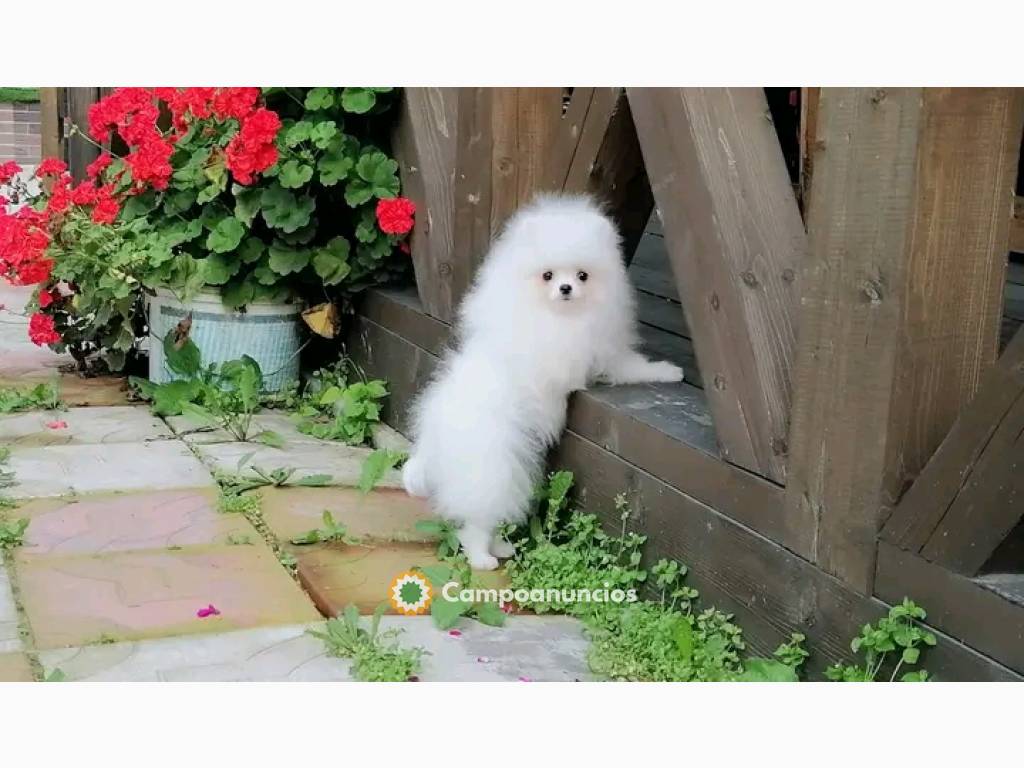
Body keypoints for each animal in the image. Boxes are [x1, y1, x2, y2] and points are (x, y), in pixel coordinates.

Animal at [403, 196, 684, 573]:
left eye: (582, 275)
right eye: (547, 275)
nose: (565, 288)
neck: (553, 312)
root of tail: (432, 431)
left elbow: (629, 365)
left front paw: (669, 371)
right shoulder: (589, 357)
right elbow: (626, 368)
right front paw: (669, 372)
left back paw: (501, 547)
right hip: (493, 467)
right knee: (476, 521)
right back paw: (482, 557)